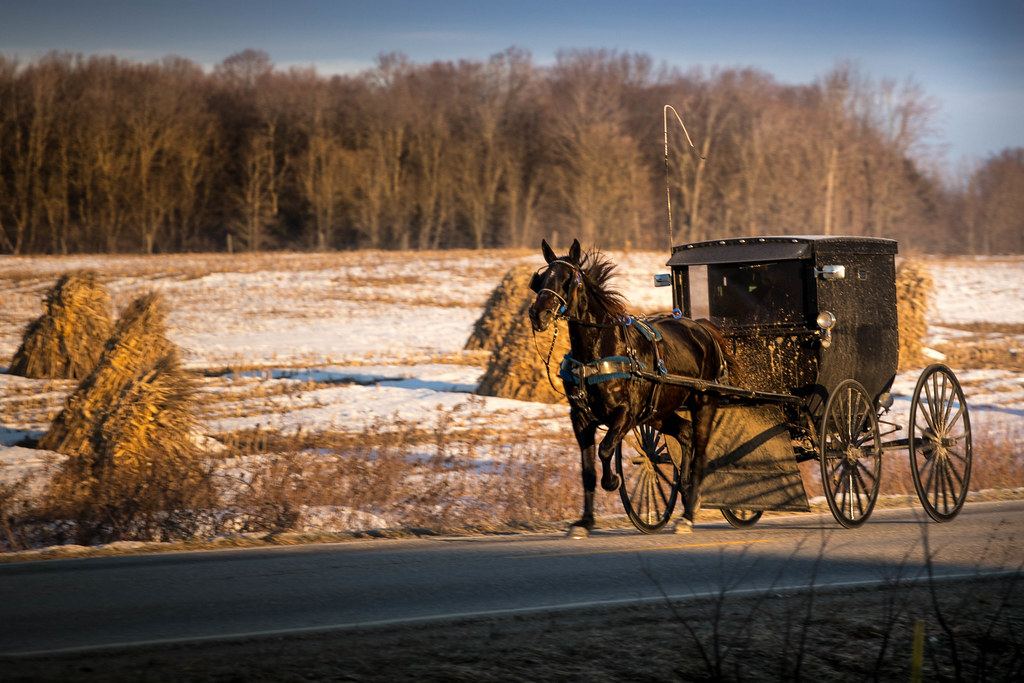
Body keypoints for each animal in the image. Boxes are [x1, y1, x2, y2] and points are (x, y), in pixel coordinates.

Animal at [528, 238, 730, 535]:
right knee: (685, 434)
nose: (538, 314)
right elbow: (587, 470)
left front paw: (613, 480)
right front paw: (585, 521)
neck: (598, 352)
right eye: (541, 278)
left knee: (700, 451)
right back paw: (684, 490)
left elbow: (605, 449)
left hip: (704, 403)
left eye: (569, 280)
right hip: (658, 413)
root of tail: (703, 328)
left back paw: (688, 514)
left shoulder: (626, 414)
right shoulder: (580, 419)